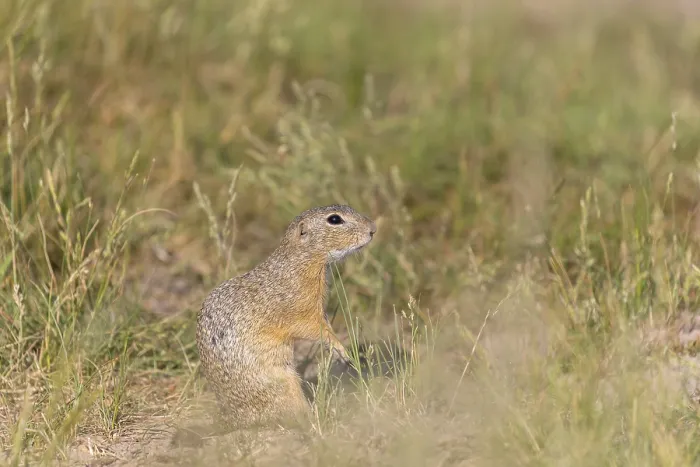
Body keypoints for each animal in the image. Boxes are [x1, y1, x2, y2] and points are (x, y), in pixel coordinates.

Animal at [196, 204, 377, 432]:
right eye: (335, 219)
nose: (373, 229)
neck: (298, 263)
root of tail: (234, 418)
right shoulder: (302, 311)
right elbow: (315, 329)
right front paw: (341, 348)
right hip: (285, 383)